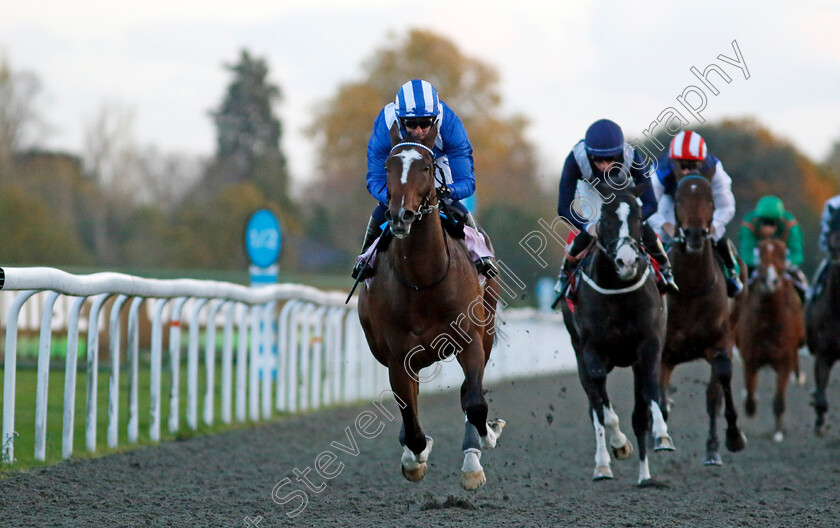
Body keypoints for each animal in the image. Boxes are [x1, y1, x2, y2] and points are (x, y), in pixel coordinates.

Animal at [356, 121, 506, 488]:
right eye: (388, 166)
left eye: (425, 166)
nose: (401, 215)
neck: (423, 279)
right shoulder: (399, 356)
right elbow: (410, 417)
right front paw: (415, 456)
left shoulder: (470, 341)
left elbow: (475, 401)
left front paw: (483, 443)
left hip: (487, 330)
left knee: (469, 394)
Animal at [560, 188, 672, 484]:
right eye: (606, 219)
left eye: (640, 217)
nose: (628, 261)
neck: (619, 291)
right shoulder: (592, 353)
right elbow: (602, 409)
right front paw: (617, 447)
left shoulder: (649, 346)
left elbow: (649, 395)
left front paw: (662, 435)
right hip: (580, 354)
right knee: (595, 407)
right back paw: (605, 462)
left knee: (637, 414)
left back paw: (645, 476)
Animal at [656, 175, 748, 464]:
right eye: (679, 199)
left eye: (709, 199)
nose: (695, 235)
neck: (690, 288)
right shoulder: (663, 351)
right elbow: (659, 398)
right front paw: (659, 436)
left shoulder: (720, 344)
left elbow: (719, 389)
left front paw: (733, 437)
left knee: (713, 396)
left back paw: (713, 448)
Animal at [740, 236, 804, 442]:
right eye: (760, 253)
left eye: (782, 255)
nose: (769, 281)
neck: (769, 321)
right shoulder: (751, 359)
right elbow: (750, 398)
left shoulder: (784, 361)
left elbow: (779, 401)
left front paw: (778, 432)